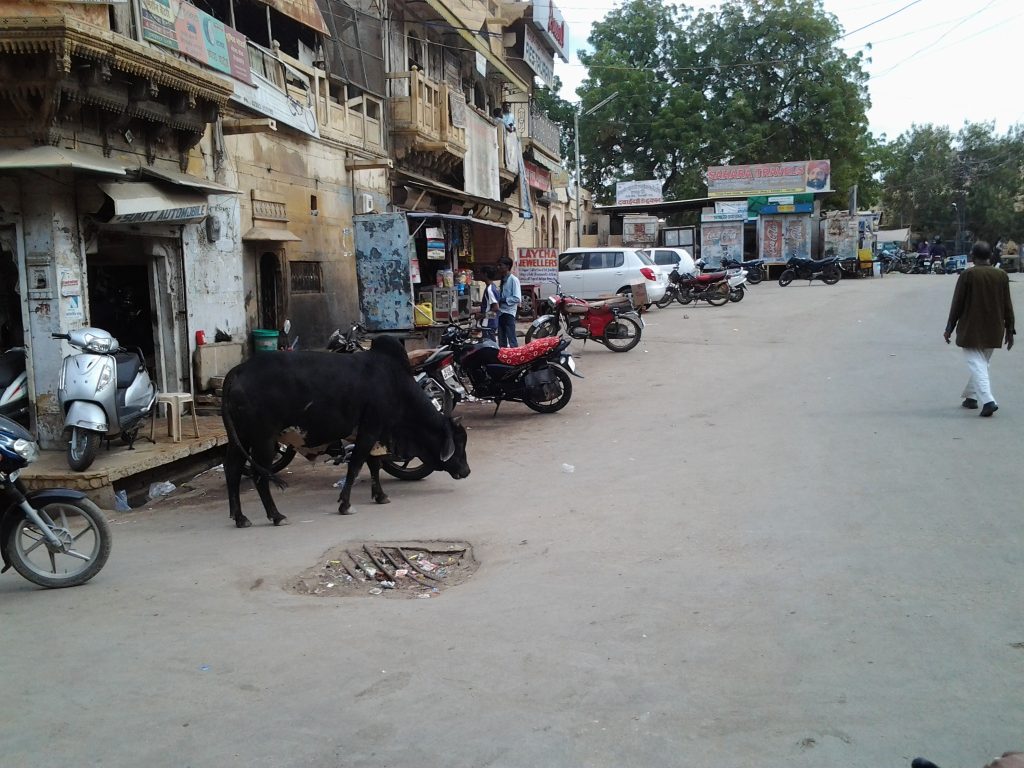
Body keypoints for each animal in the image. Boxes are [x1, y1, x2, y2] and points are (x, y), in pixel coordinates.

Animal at [222, 335, 468, 528]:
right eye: (459, 442)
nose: (466, 471)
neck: (395, 382)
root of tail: (239, 370)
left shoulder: (374, 435)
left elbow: (374, 465)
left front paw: (380, 496)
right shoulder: (371, 429)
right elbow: (356, 464)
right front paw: (345, 504)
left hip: (241, 437)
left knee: (232, 469)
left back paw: (240, 517)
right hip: (264, 439)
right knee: (259, 476)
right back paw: (276, 516)